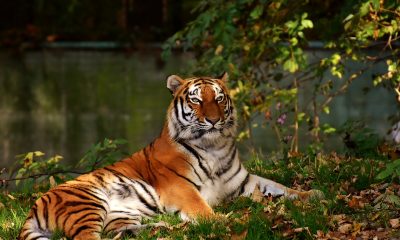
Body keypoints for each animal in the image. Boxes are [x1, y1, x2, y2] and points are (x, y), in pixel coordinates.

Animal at [18, 73, 322, 240]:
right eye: (196, 99)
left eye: (219, 98)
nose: (213, 120)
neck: (215, 147)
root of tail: (35, 205)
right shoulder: (179, 186)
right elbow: (202, 208)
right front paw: (224, 221)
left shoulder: (244, 181)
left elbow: (280, 187)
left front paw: (313, 194)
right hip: (87, 203)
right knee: (87, 238)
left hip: (121, 214)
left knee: (116, 233)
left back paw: (164, 228)